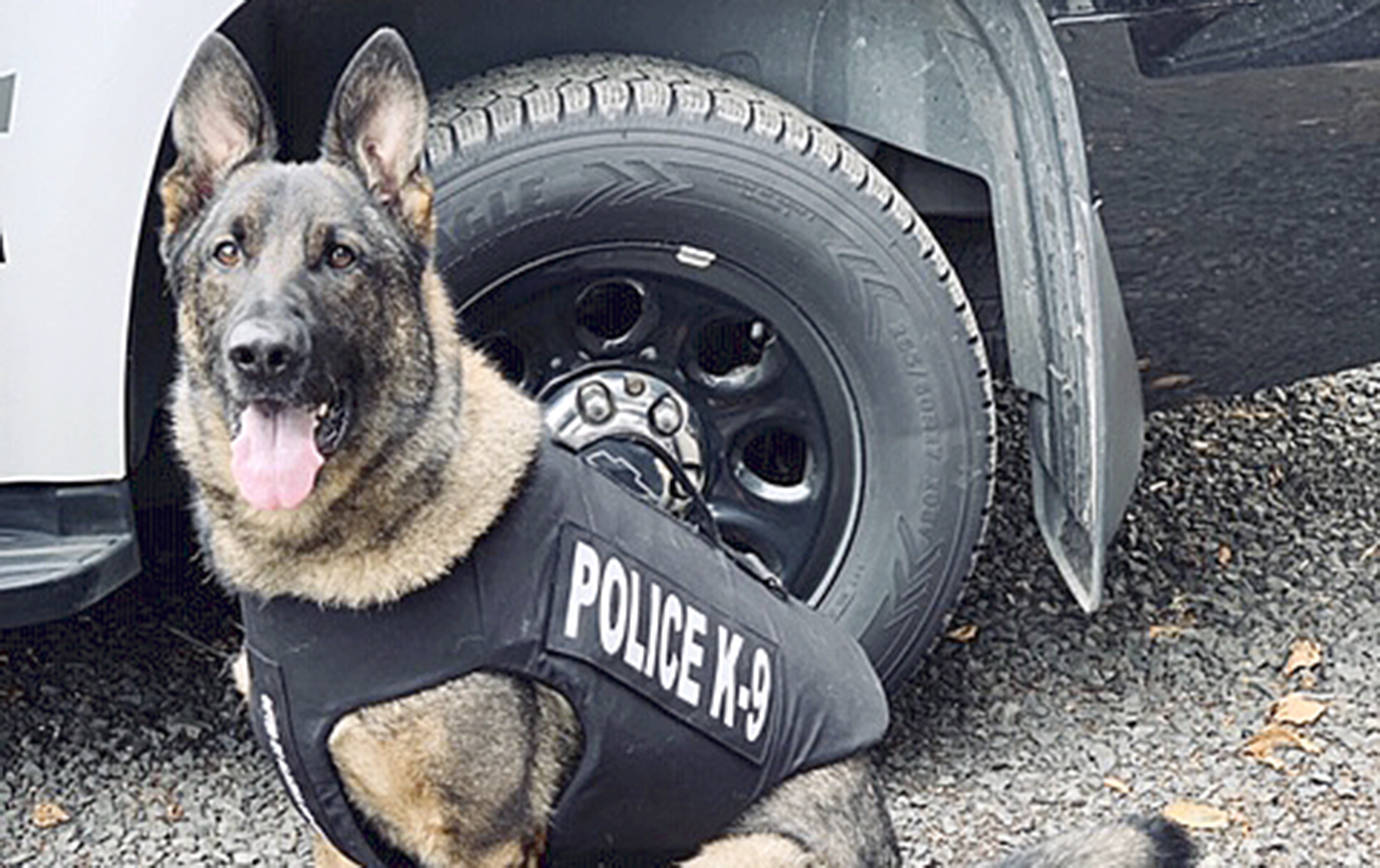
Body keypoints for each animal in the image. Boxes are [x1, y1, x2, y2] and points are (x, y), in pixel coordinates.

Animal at [164, 27, 1197, 866]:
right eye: (227, 252)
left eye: (340, 257)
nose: (262, 355)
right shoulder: (341, 834)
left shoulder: (479, 843)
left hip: (742, 856)